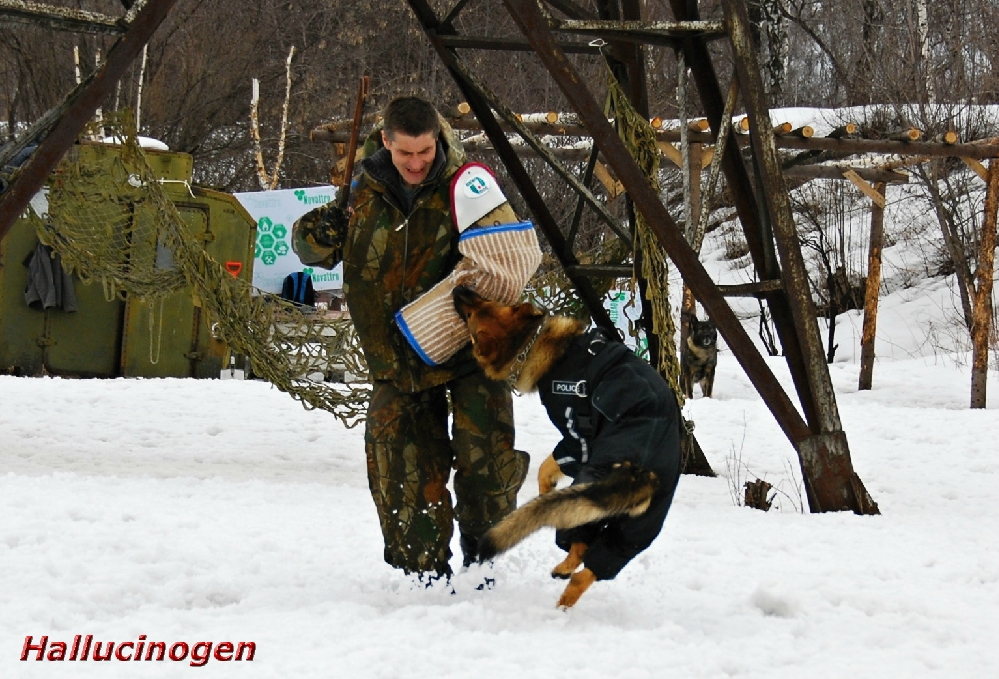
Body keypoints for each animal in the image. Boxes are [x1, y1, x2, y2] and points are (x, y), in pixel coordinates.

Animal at [452, 286, 680, 612]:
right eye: (484, 301)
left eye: (471, 316)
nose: (459, 288)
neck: (530, 340)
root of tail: (639, 474)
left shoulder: (575, 439)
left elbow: (547, 465)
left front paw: (545, 488)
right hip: (635, 528)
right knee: (591, 565)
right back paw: (565, 589)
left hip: (591, 487)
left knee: (580, 544)